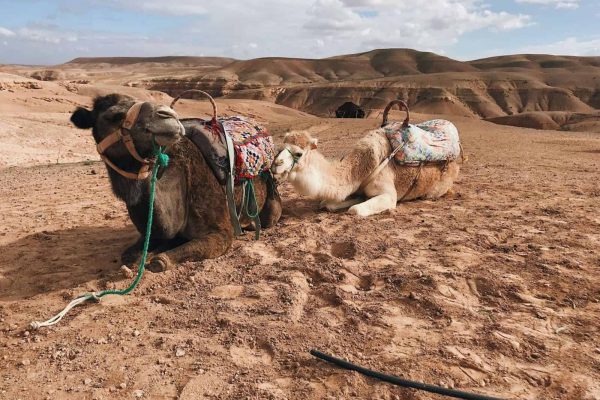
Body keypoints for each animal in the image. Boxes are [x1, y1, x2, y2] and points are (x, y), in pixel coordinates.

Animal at [71, 94, 282, 272]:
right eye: (115, 116)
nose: (167, 115)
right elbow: (129, 256)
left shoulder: (222, 232)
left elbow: (160, 261)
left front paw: (159, 257)